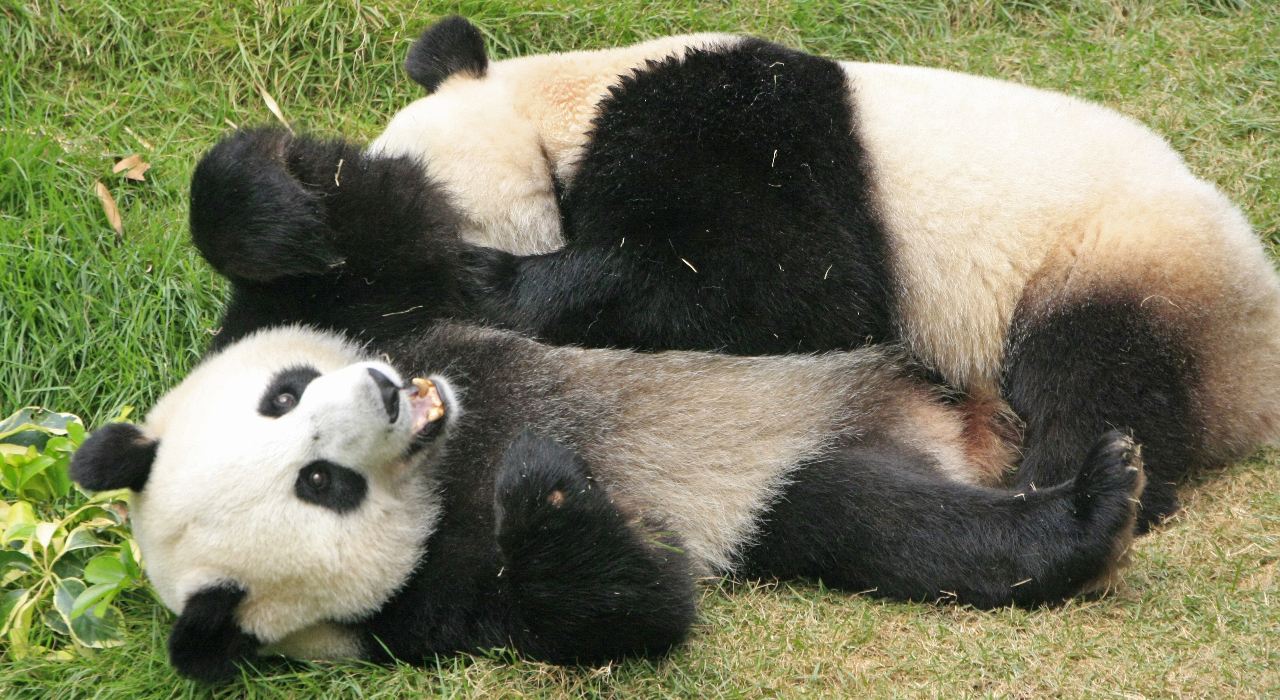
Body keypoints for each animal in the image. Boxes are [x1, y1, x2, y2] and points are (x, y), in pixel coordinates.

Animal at [71, 321, 1145, 682]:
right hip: (793, 487)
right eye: (320, 486)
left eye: (282, 396)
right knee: (893, 525)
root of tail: (952, 439)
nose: (381, 391)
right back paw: (1096, 504)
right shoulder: (424, 614)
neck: (447, 467)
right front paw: (551, 493)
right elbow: (634, 608)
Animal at [192, 17, 1280, 534]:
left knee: (1094, 369)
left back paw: (1063, 474)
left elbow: (796, 286)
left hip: (1120, 257)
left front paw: (492, 276)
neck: (559, 108)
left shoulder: (733, 129)